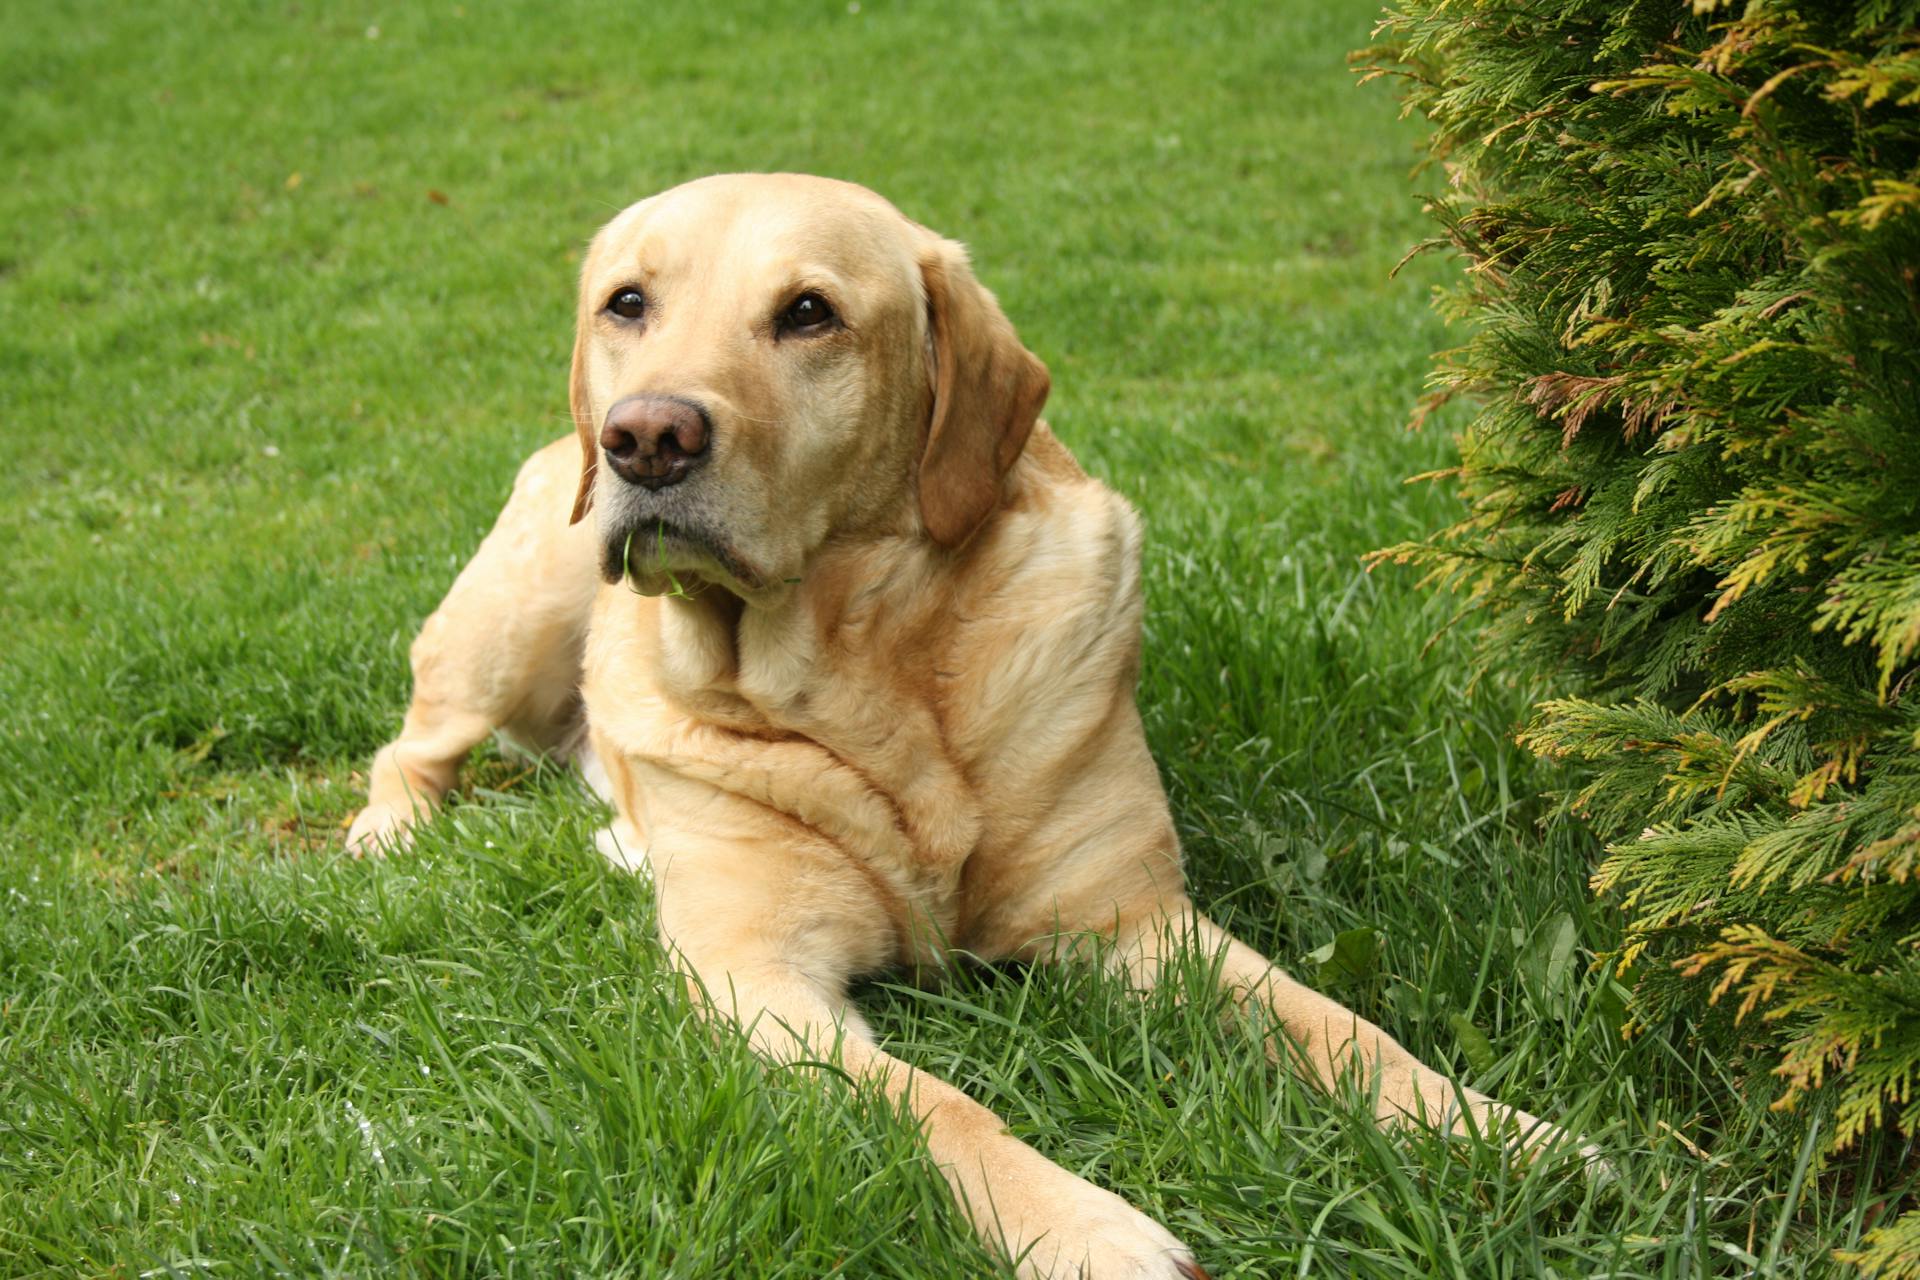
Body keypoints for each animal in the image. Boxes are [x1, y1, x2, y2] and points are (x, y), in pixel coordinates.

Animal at [349, 175, 1589, 1274]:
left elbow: (1338, 1025)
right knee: (413, 744)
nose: (644, 436)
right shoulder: (758, 978)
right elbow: (938, 1104)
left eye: (810, 313)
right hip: (514, 620)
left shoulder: (1140, 923)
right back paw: (387, 835)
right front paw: (1087, 1230)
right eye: (627, 302)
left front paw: (1496, 1127)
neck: (866, 680)